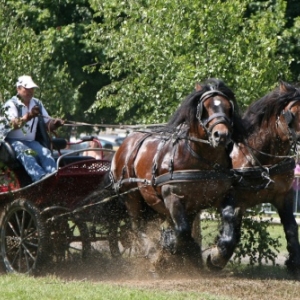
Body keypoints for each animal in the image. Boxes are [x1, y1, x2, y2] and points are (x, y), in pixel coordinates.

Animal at [110, 78, 244, 270]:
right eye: (206, 107)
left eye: (228, 107)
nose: (221, 135)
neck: (200, 159)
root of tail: (124, 144)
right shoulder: (172, 196)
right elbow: (183, 231)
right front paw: (176, 248)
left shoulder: (223, 194)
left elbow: (230, 222)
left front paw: (217, 256)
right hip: (132, 196)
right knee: (137, 226)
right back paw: (154, 254)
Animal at [209, 81, 300, 274]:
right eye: (292, 114)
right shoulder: (231, 198)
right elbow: (231, 229)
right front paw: (216, 256)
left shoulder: (283, 195)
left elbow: (291, 226)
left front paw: (294, 261)